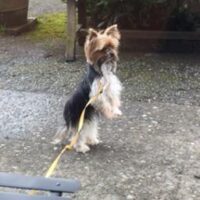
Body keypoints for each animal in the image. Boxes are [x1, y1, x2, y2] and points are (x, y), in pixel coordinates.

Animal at [52, 25, 122, 153]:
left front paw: (116, 111)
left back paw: (91, 140)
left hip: (88, 119)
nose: (112, 54)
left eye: (112, 47)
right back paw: (81, 147)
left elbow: (113, 100)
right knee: (77, 136)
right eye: (103, 49)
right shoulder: (96, 93)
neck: (102, 71)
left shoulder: (110, 89)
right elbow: (105, 103)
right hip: (80, 120)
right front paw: (109, 112)